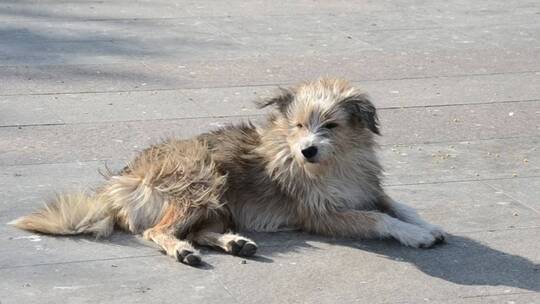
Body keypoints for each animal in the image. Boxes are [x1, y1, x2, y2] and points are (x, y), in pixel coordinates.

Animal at [10, 79, 446, 266]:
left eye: (331, 125)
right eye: (299, 125)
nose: (307, 150)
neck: (337, 161)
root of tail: (121, 181)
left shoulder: (368, 189)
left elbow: (398, 205)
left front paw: (427, 225)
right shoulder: (321, 214)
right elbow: (377, 218)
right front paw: (415, 236)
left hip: (216, 198)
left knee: (199, 229)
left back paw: (233, 243)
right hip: (201, 177)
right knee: (157, 232)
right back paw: (183, 251)